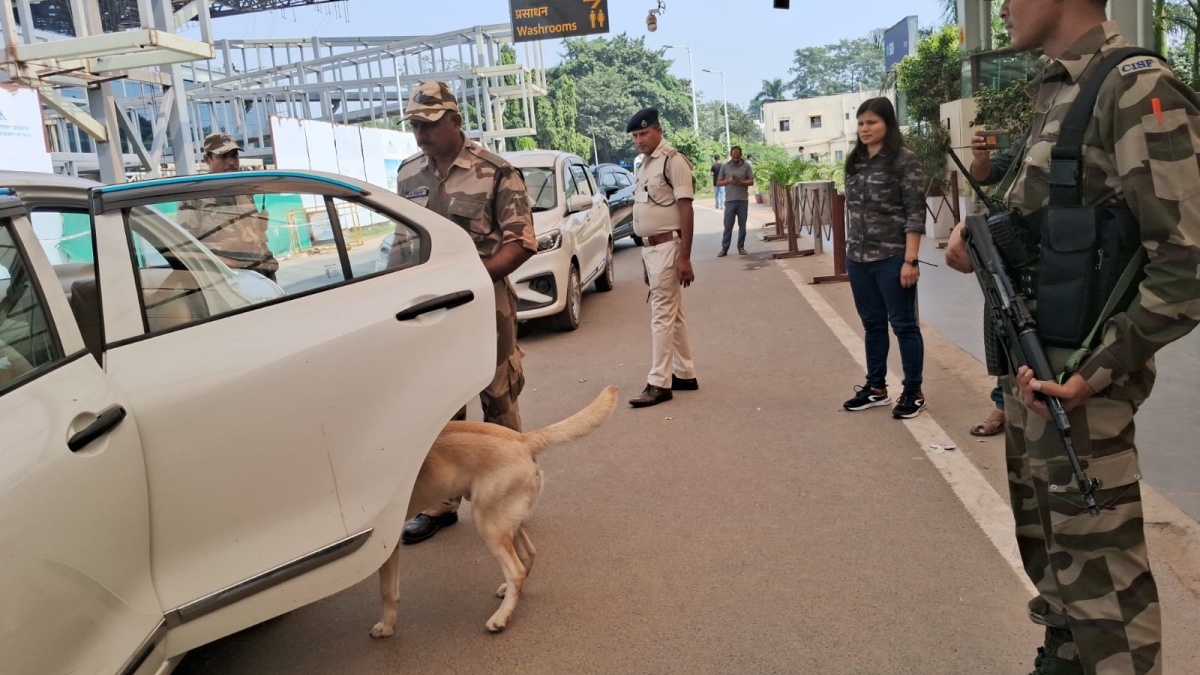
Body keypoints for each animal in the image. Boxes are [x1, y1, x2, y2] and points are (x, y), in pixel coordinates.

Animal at [369, 384, 619, 634]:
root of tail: (522, 439)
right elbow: (387, 588)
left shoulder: (384, 545)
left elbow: (386, 590)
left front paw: (386, 626)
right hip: (506, 518)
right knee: (528, 554)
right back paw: (509, 593)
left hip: (488, 523)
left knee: (516, 571)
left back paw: (502, 616)